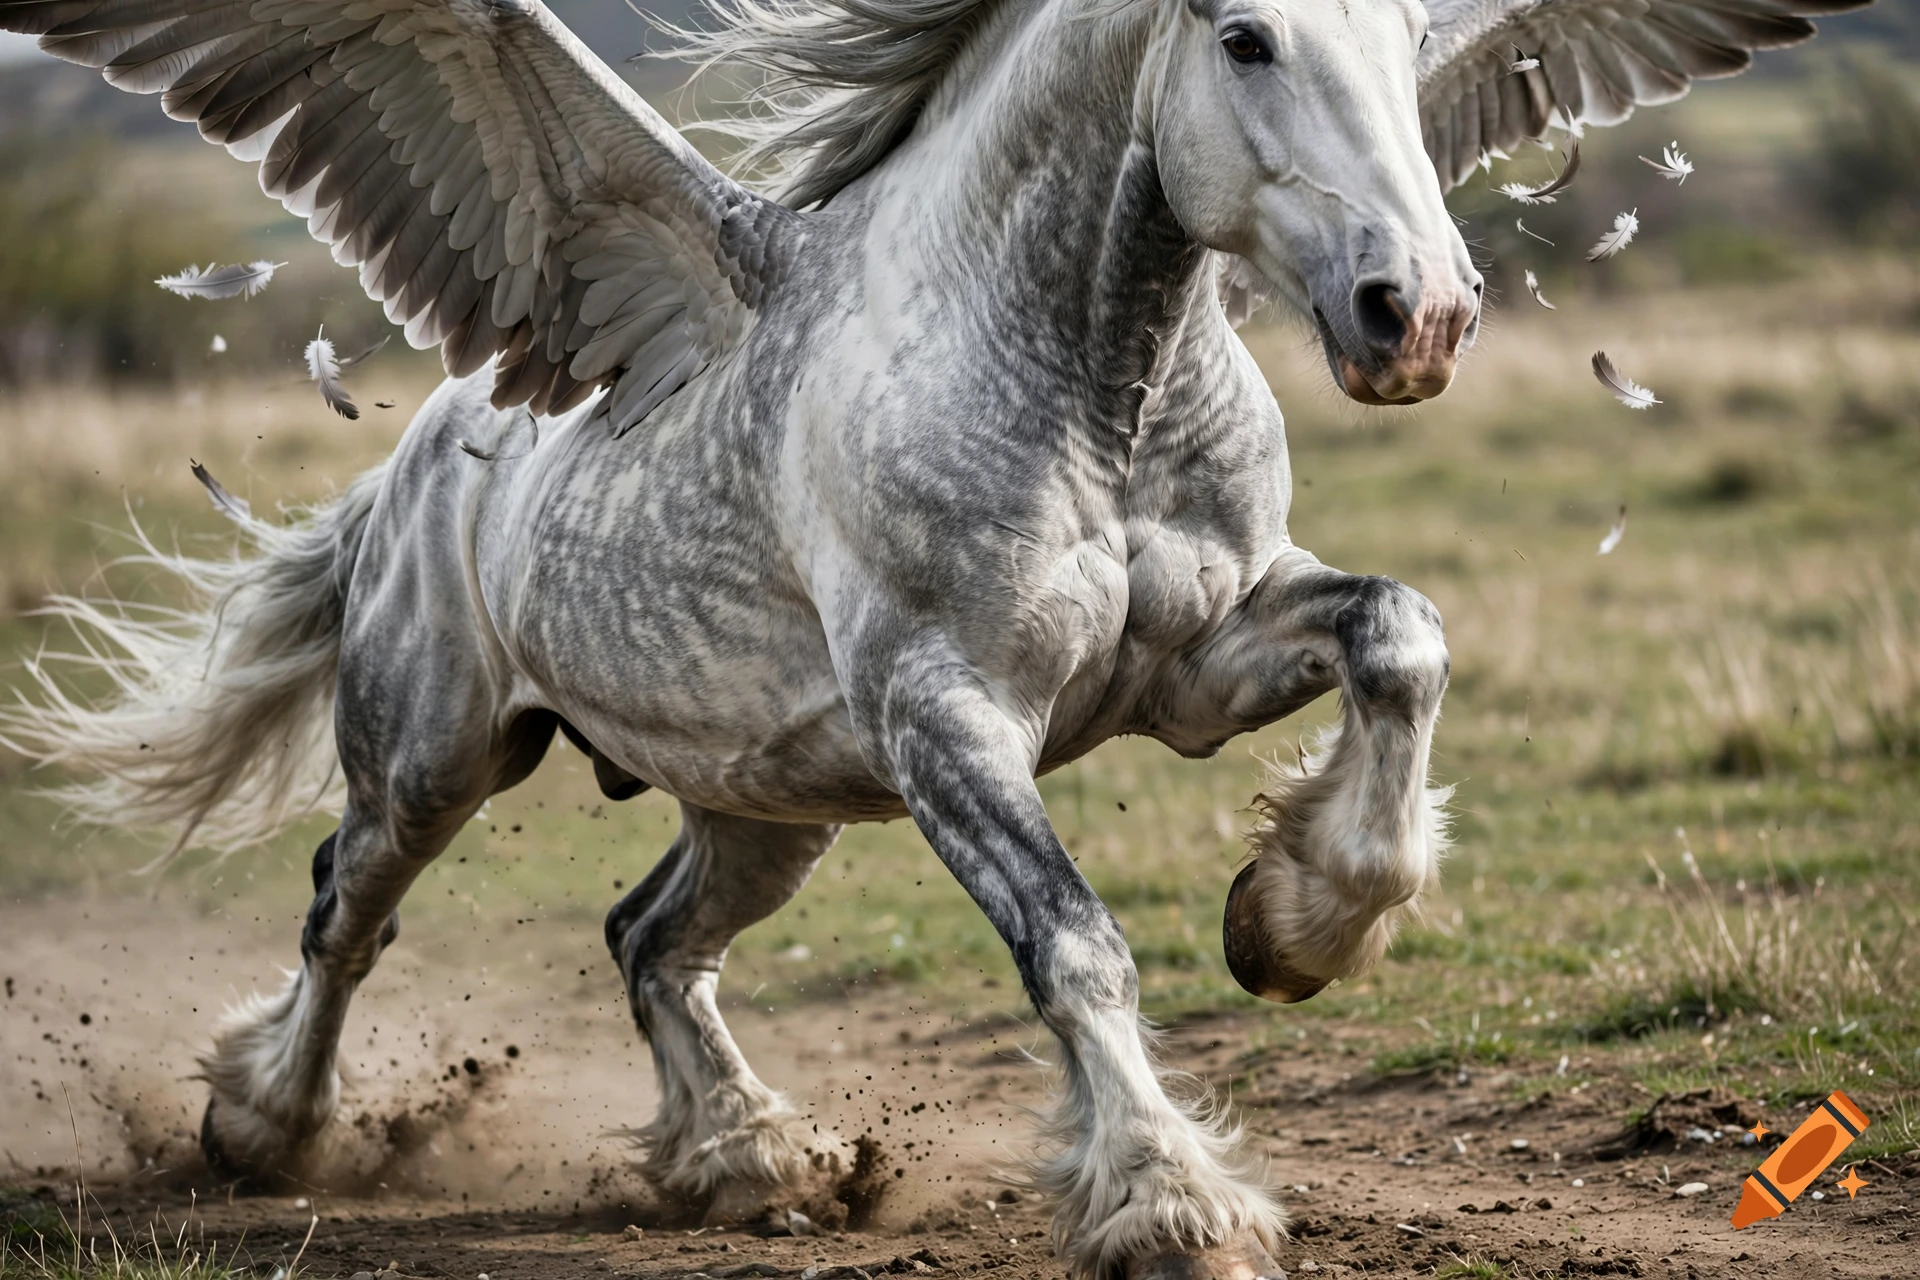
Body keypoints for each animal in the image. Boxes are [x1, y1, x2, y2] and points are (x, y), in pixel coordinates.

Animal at [0, 0, 1862, 1272]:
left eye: (1417, 36)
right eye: (1245, 37)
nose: (1421, 316)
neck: (1086, 383)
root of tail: (429, 439)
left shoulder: (1196, 667)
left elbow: (1402, 634)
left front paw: (1298, 922)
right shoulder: (950, 716)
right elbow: (1077, 944)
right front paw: (1173, 1201)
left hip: (766, 808)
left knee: (646, 940)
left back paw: (752, 1162)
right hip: (436, 749)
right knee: (349, 911)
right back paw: (264, 1128)